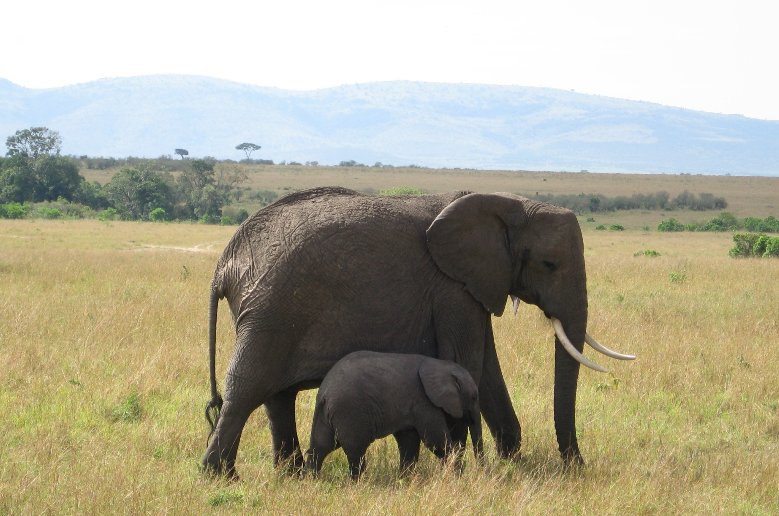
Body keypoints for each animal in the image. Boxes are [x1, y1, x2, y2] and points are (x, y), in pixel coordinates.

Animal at [304, 350, 482, 480]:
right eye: (474, 397)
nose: (482, 473)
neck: (441, 365)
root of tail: (325, 393)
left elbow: (409, 441)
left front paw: (405, 479)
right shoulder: (424, 402)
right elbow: (435, 441)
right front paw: (458, 474)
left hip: (326, 413)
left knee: (320, 447)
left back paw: (311, 481)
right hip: (349, 412)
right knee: (356, 451)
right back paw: (359, 483)